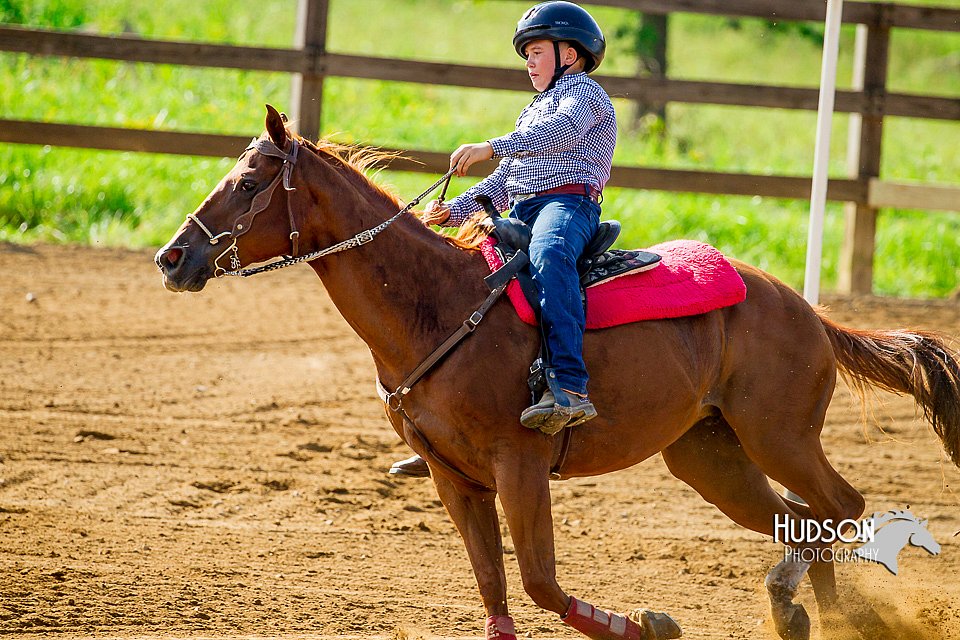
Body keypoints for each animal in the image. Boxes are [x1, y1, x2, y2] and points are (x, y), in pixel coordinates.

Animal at [154, 105, 956, 640]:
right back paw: (807, 611)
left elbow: (540, 582)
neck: (441, 305)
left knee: (840, 504)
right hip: (710, 456)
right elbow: (494, 587)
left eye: (250, 182)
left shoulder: (521, 464)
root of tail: (808, 311)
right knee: (801, 515)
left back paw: (801, 600)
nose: (172, 257)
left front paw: (646, 623)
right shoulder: (453, 476)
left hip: (778, 433)